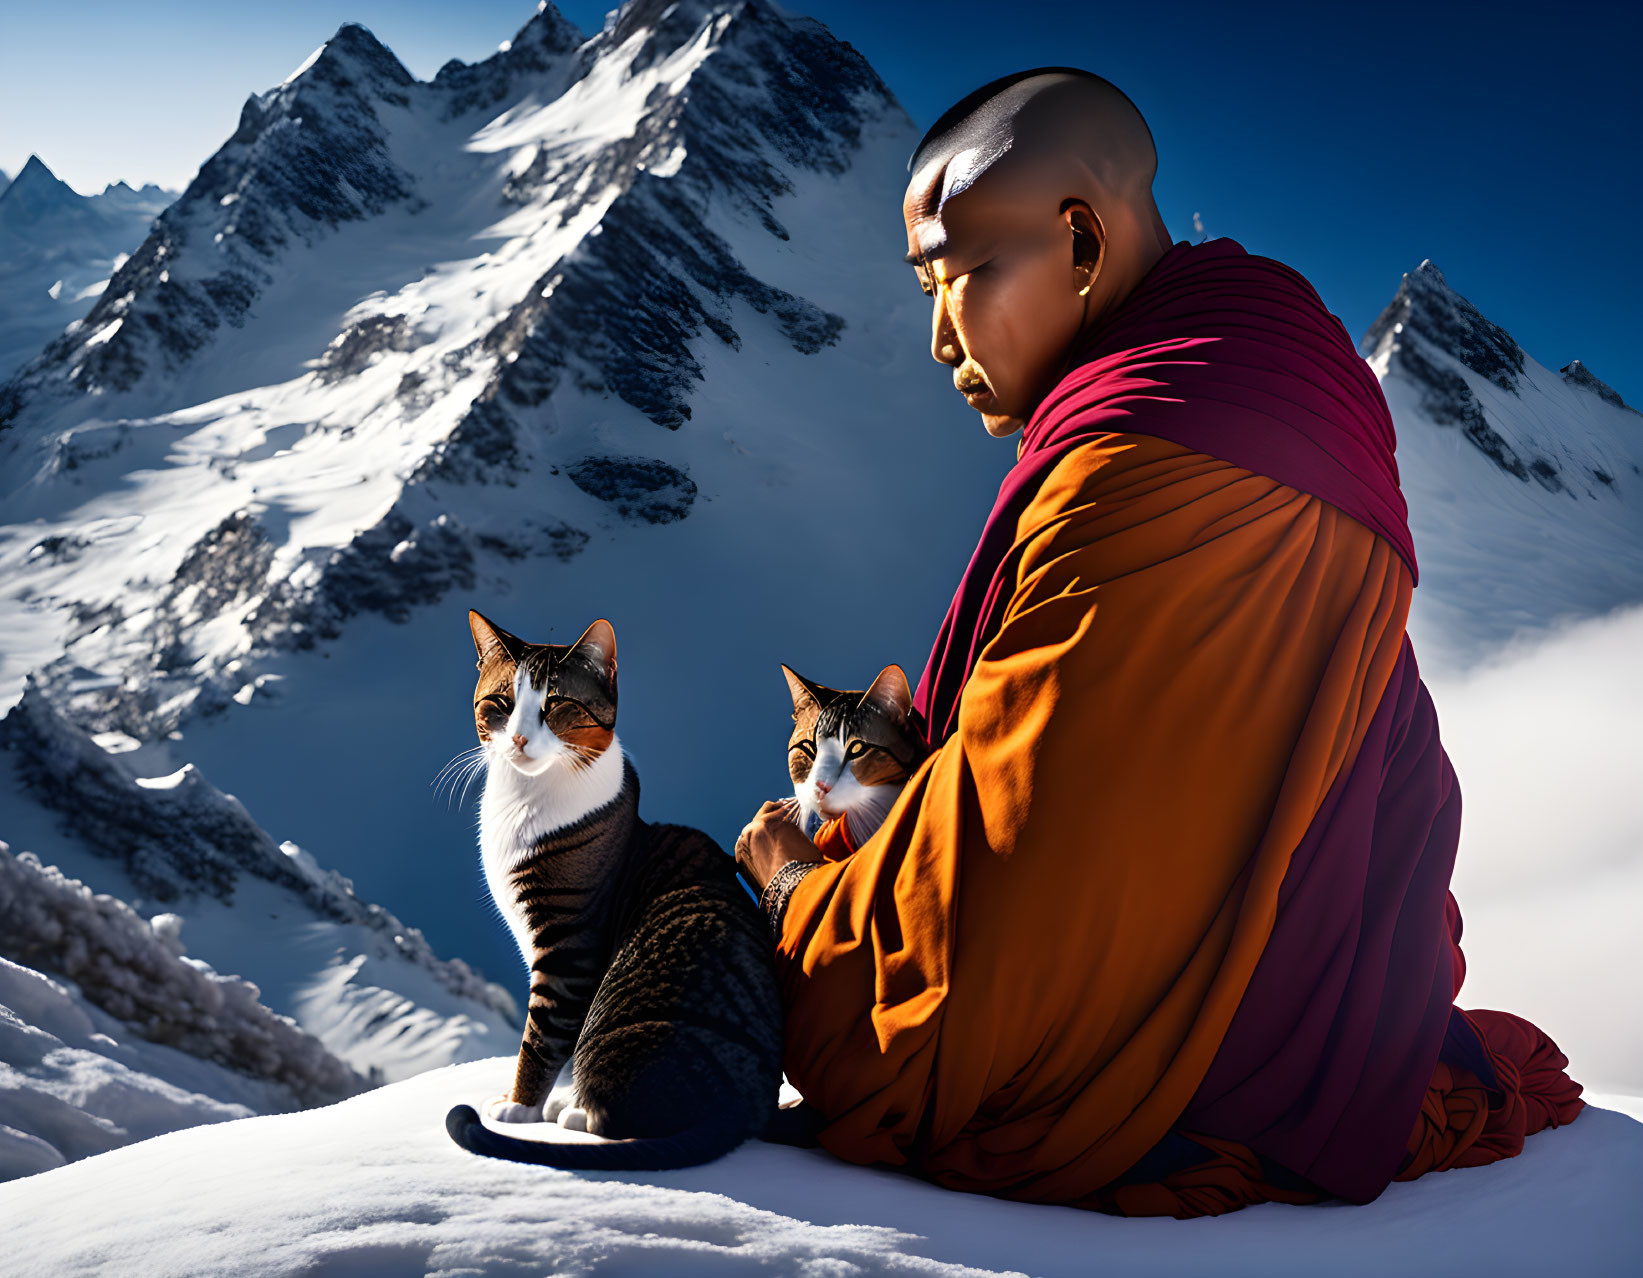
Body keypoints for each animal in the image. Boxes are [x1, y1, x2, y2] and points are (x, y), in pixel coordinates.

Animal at [443, 607, 782, 1163]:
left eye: (556, 704)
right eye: (501, 704)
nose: (518, 739)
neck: (520, 802)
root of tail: (740, 1109)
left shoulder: (568, 949)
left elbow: (542, 1034)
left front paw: (520, 1106)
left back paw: (573, 1112)